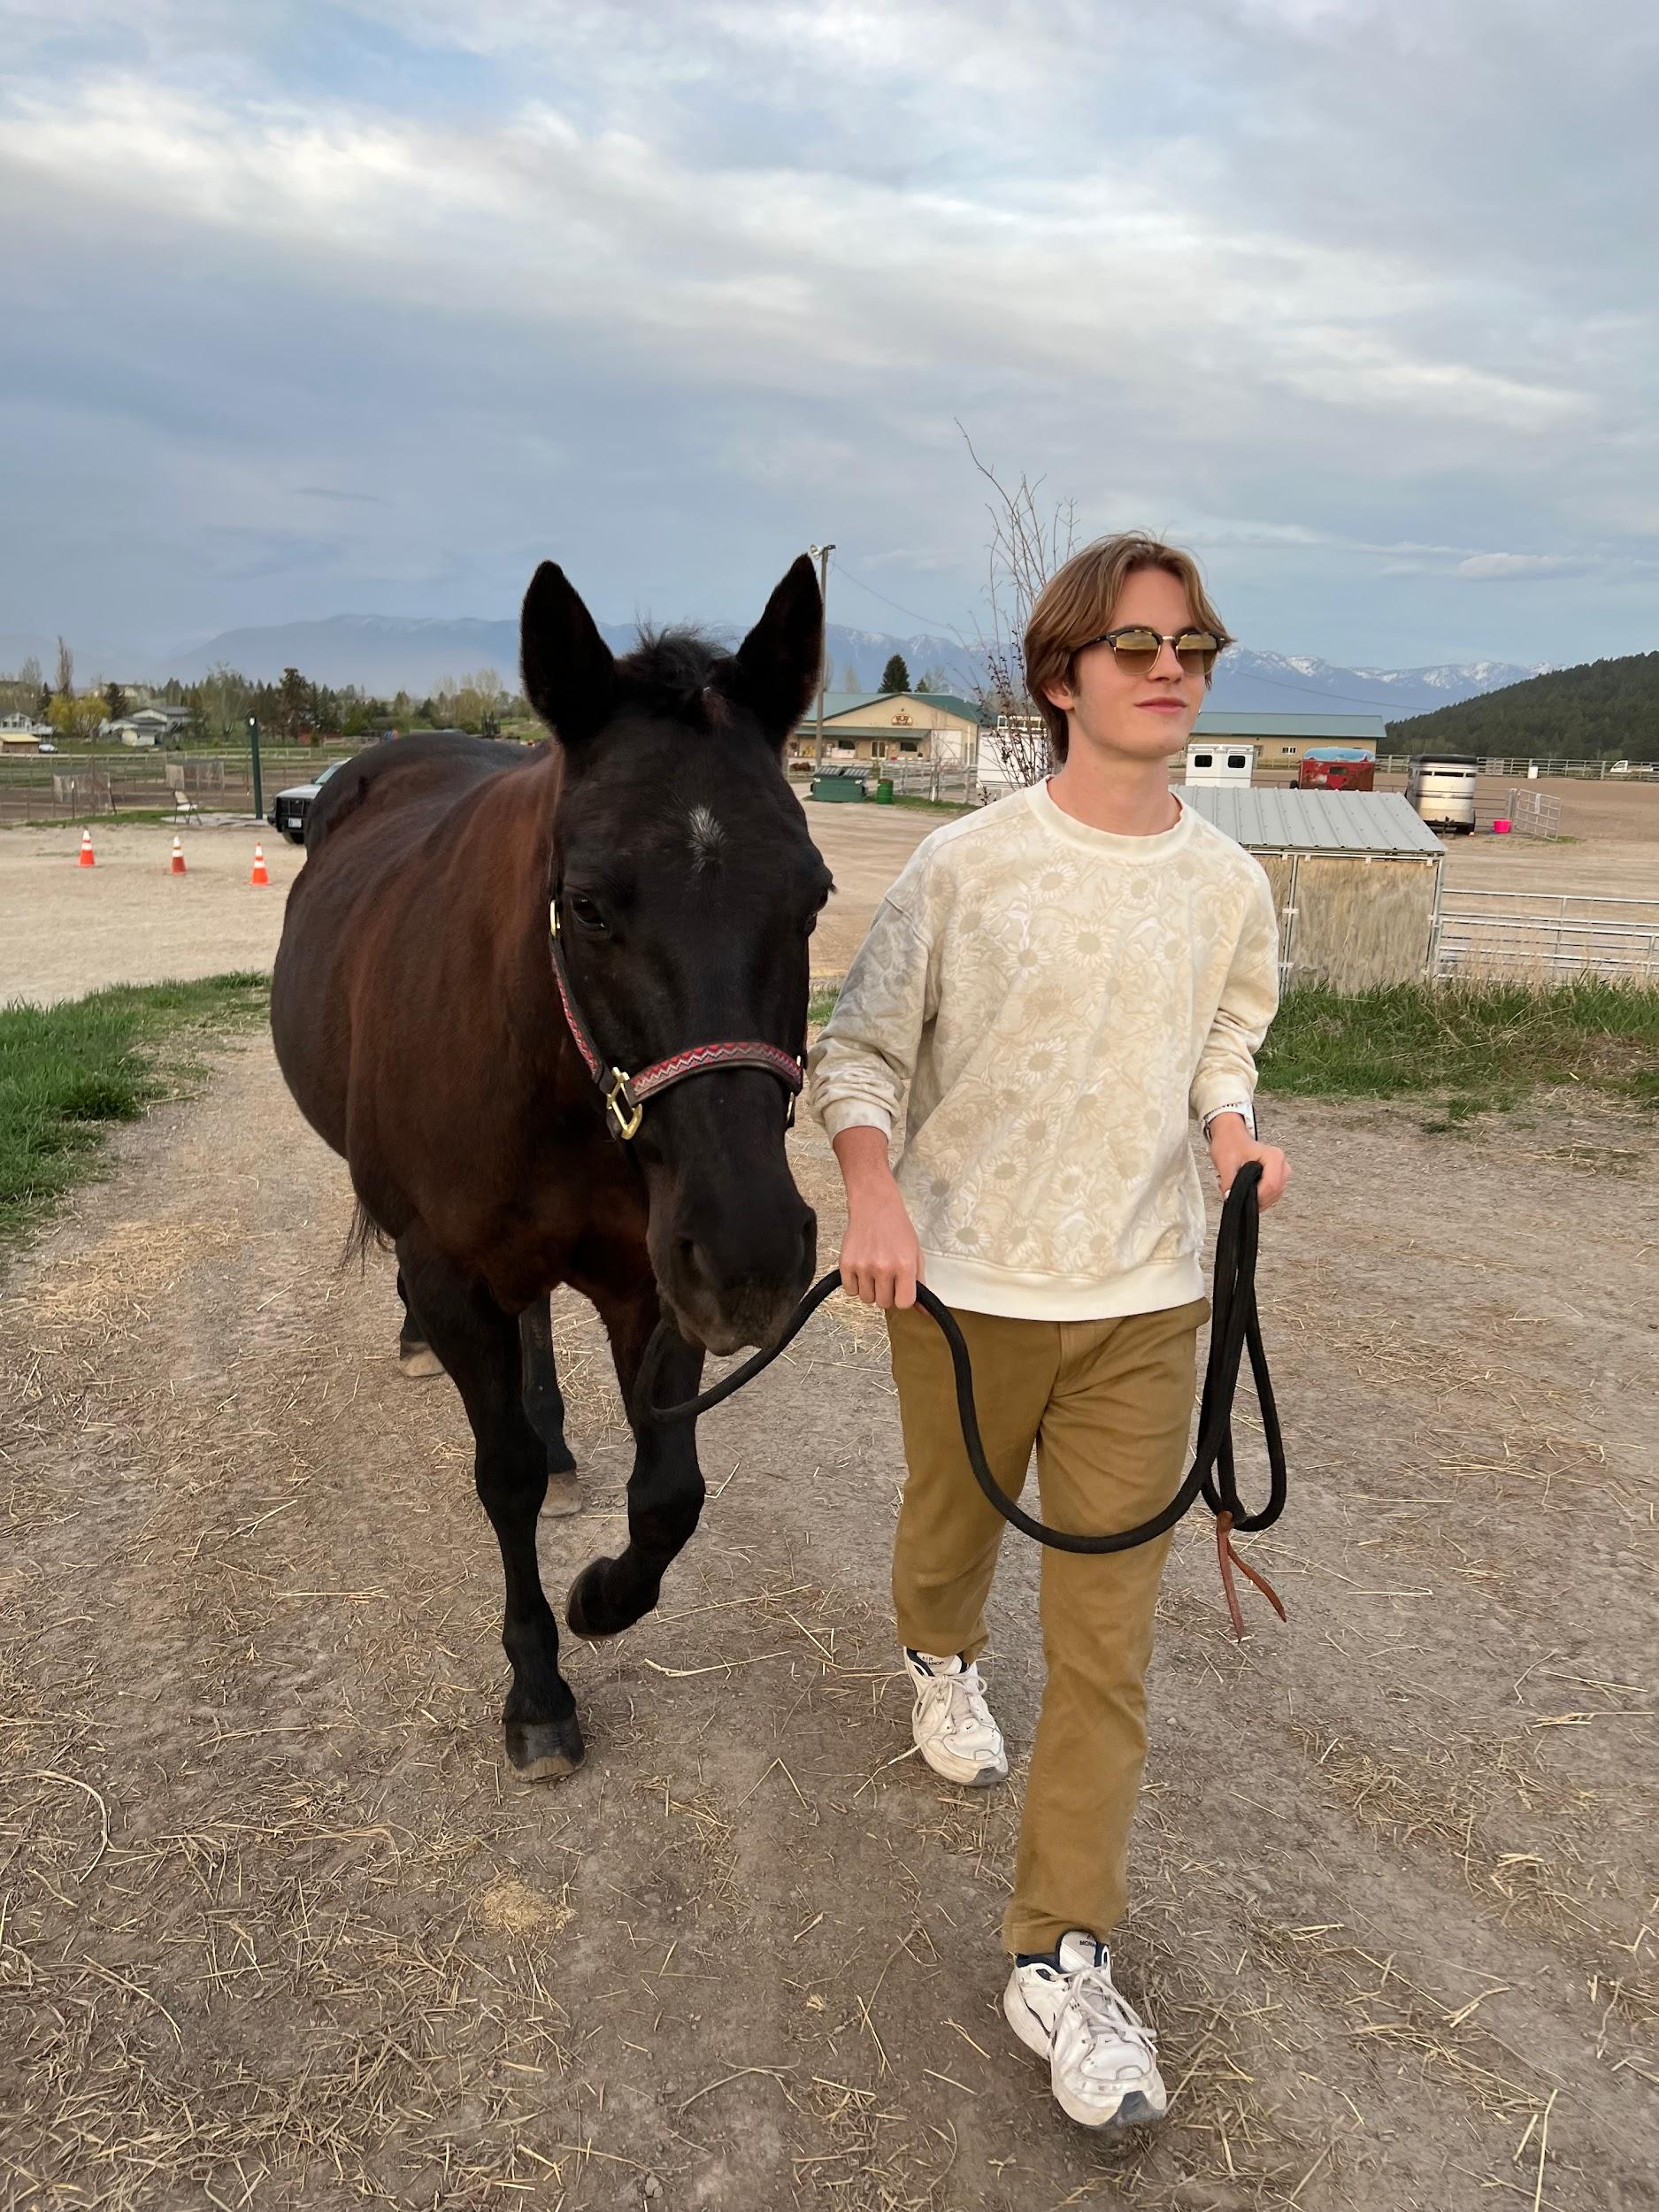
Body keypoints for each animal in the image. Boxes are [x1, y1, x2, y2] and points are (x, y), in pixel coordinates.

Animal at [270, 556, 832, 1781]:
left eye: (813, 896)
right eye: (588, 905)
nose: (756, 1257)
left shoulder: (654, 1277)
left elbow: (670, 1490)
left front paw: (601, 1598)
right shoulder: (454, 1273)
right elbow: (505, 1476)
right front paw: (536, 1685)